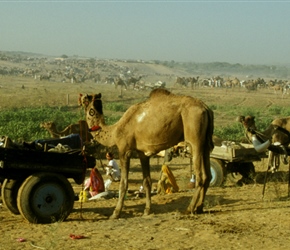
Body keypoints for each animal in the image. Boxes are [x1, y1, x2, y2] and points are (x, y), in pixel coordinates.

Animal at [78, 88, 214, 219]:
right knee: (207, 175)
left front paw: (116, 213)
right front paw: (147, 210)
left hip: (194, 134)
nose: (79, 99)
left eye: (85, 99)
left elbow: (123, 183)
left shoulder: (124, 150)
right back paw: (199, 208)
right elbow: (147, 182)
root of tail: (206, 108)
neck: (115, 130)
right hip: (206, 143)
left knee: (200, 176)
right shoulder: (142, 153)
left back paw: (189, 209)